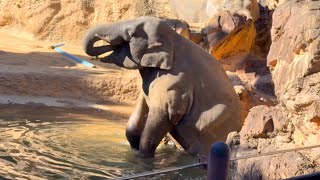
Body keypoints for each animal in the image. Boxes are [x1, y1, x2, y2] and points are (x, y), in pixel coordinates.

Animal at [82, 16, 240, 158]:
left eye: (130, 34)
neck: (174, 38)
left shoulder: (174, 83)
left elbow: (165, 115)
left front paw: (143, 157)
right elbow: (139, 112)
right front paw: (134, 150)